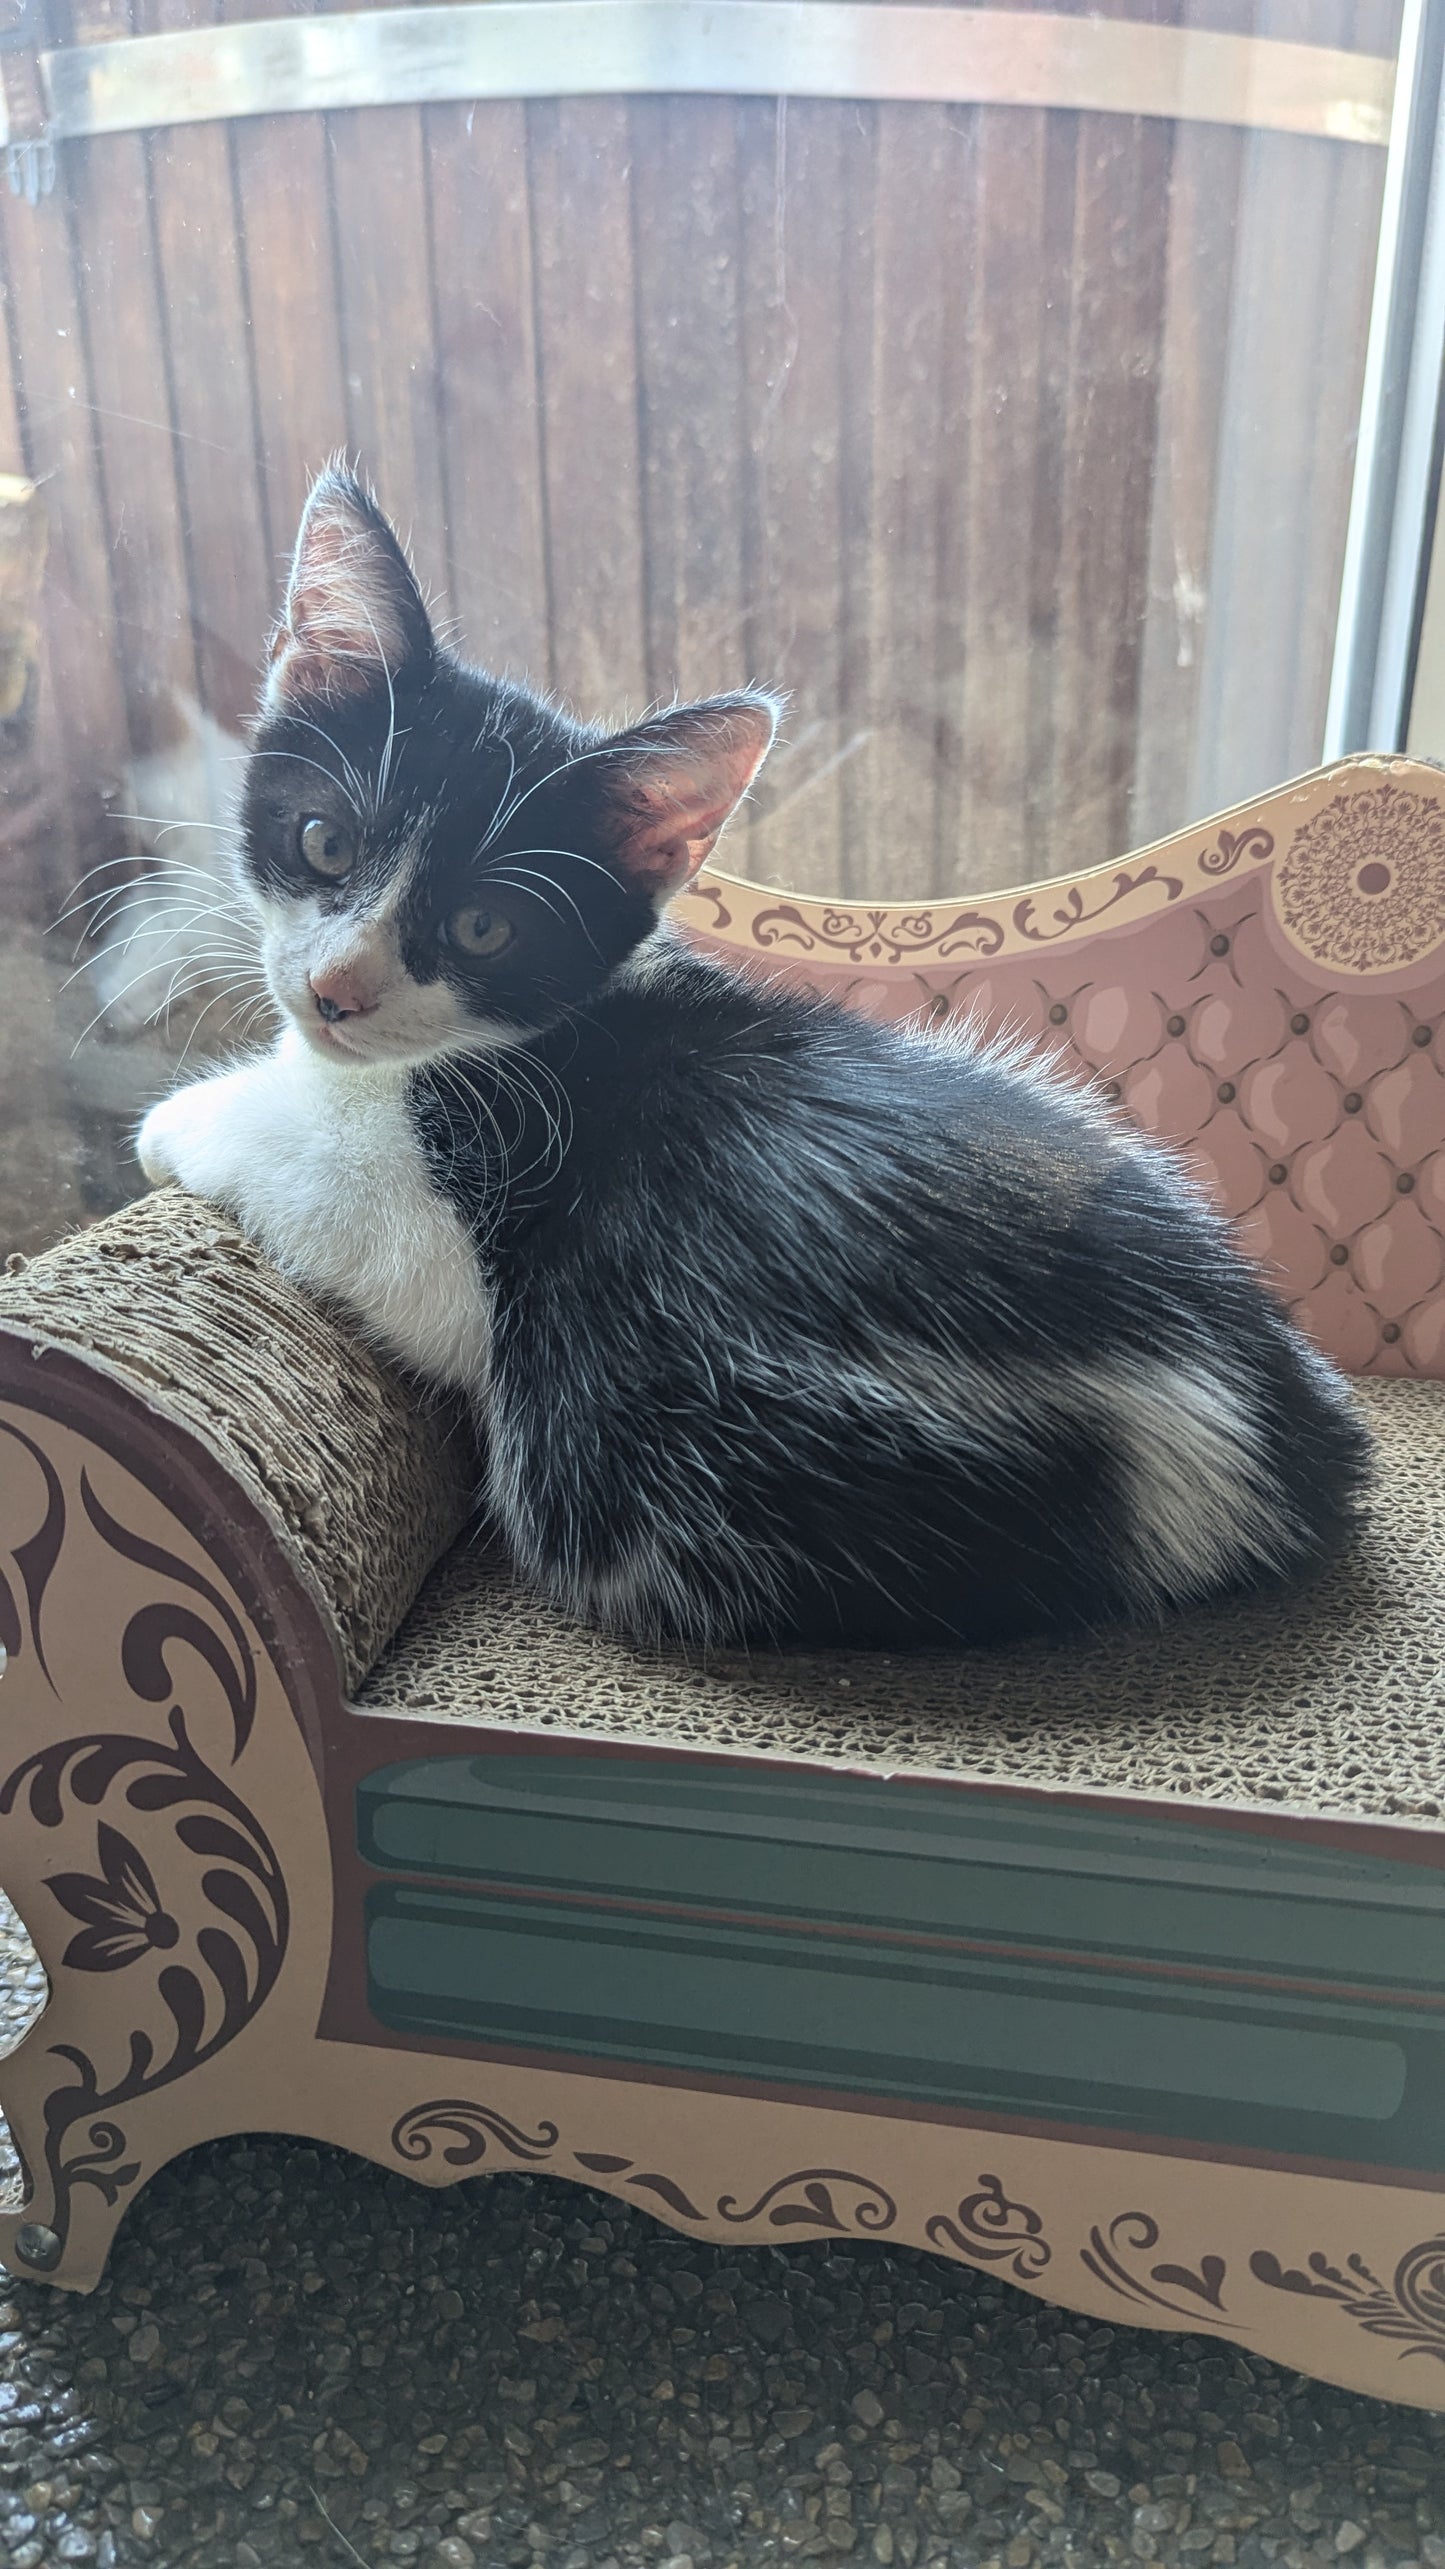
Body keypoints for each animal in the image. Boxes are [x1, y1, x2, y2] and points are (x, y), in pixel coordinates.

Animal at [134, 467, 1357, 1644]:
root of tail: (1277, 1446)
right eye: (323, 840)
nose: (335, 990)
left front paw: (180, 1122)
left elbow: (344, 1195)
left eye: (485, 928)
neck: (524, 1040)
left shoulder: (475, 1222)